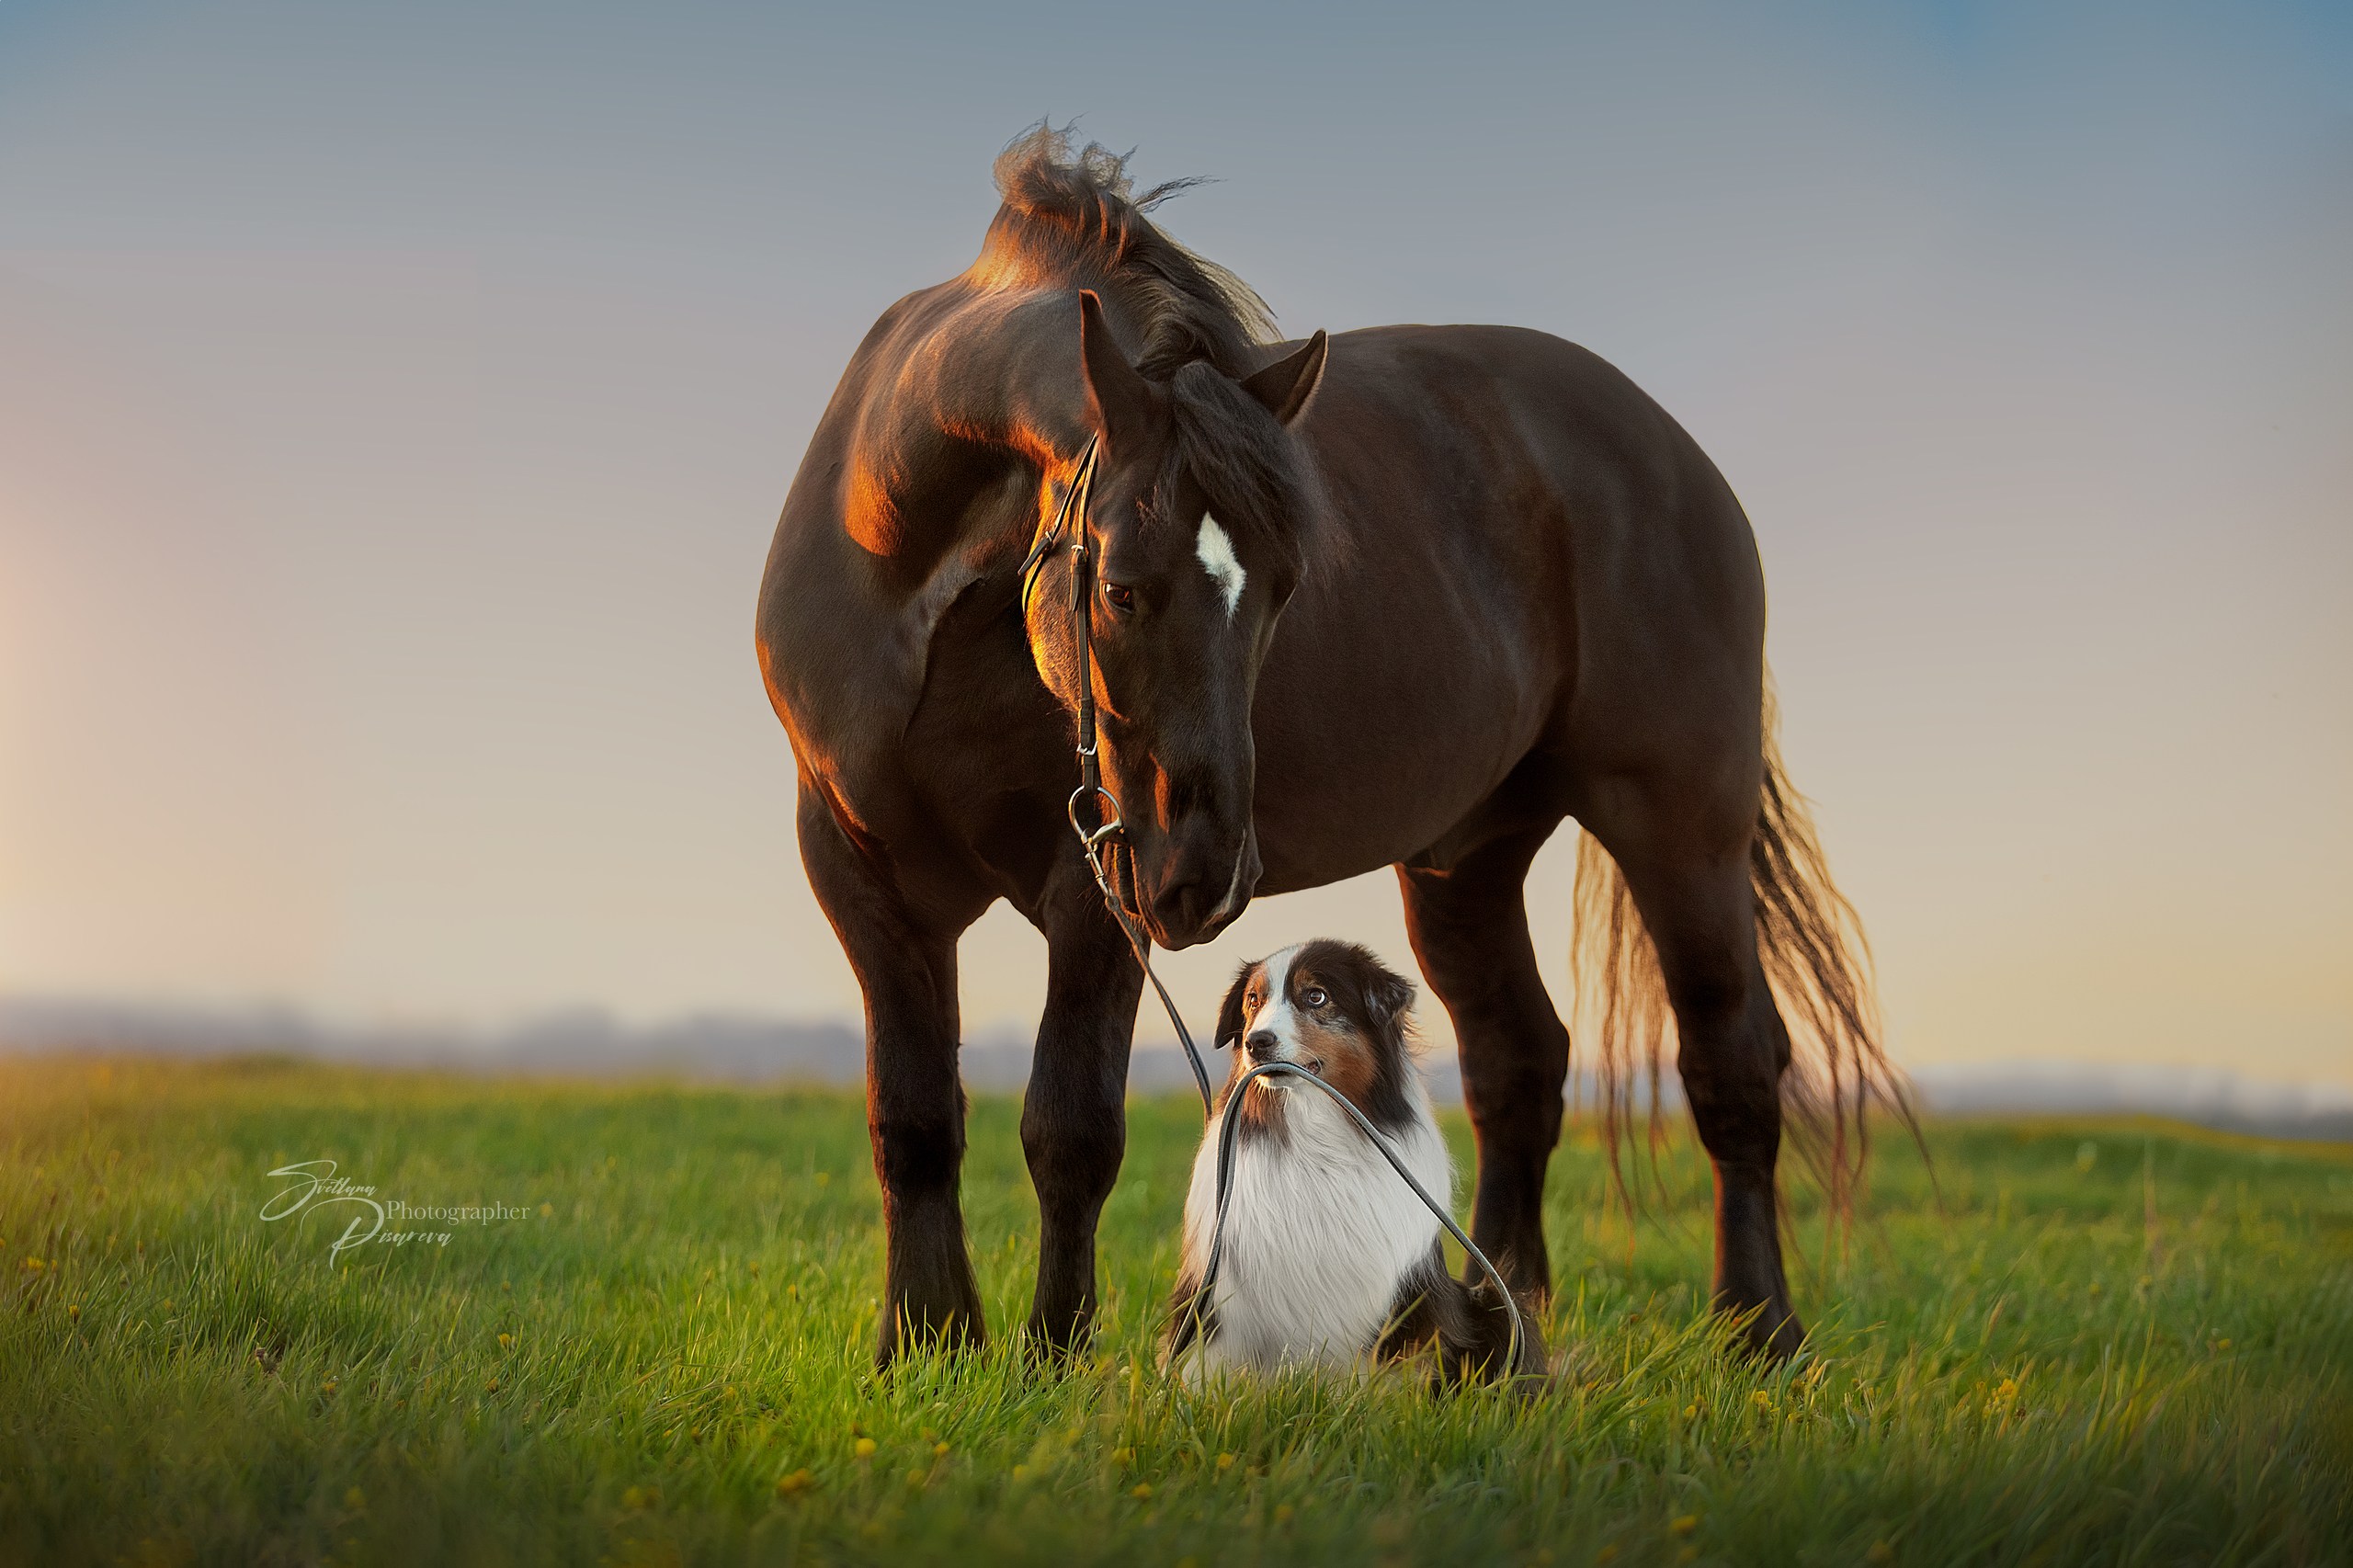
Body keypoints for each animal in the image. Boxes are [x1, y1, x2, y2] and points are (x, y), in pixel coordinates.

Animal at [1162, 932, 1543, 1374]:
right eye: (1254, 1000)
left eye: (1316, 996)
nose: (1256, 1042)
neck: (1313, 1136)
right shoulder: (1215, 1298)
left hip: (1496, 1304)